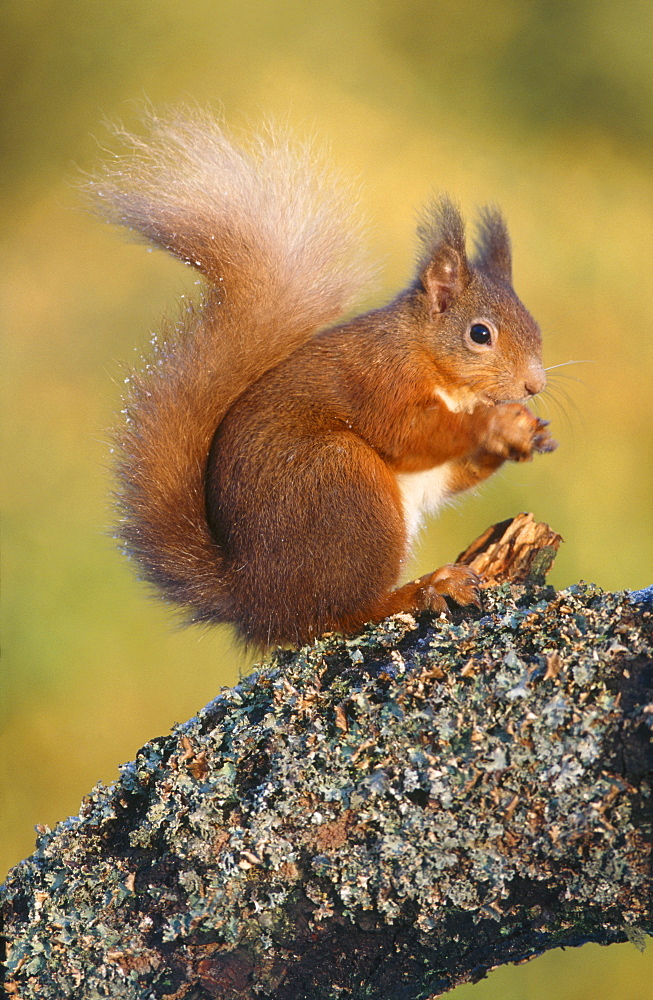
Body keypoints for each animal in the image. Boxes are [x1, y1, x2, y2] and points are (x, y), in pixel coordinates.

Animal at [94, 109, 556, 648]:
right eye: (480, 334)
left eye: (536, 327)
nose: (534, 385)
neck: (427, 356)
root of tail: (256, 598)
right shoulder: (379, 381)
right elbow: (410, 434)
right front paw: (495, 423)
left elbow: (455, 470)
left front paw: (525, 431)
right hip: (341, 483)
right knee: (338, 614)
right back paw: (422, 590)